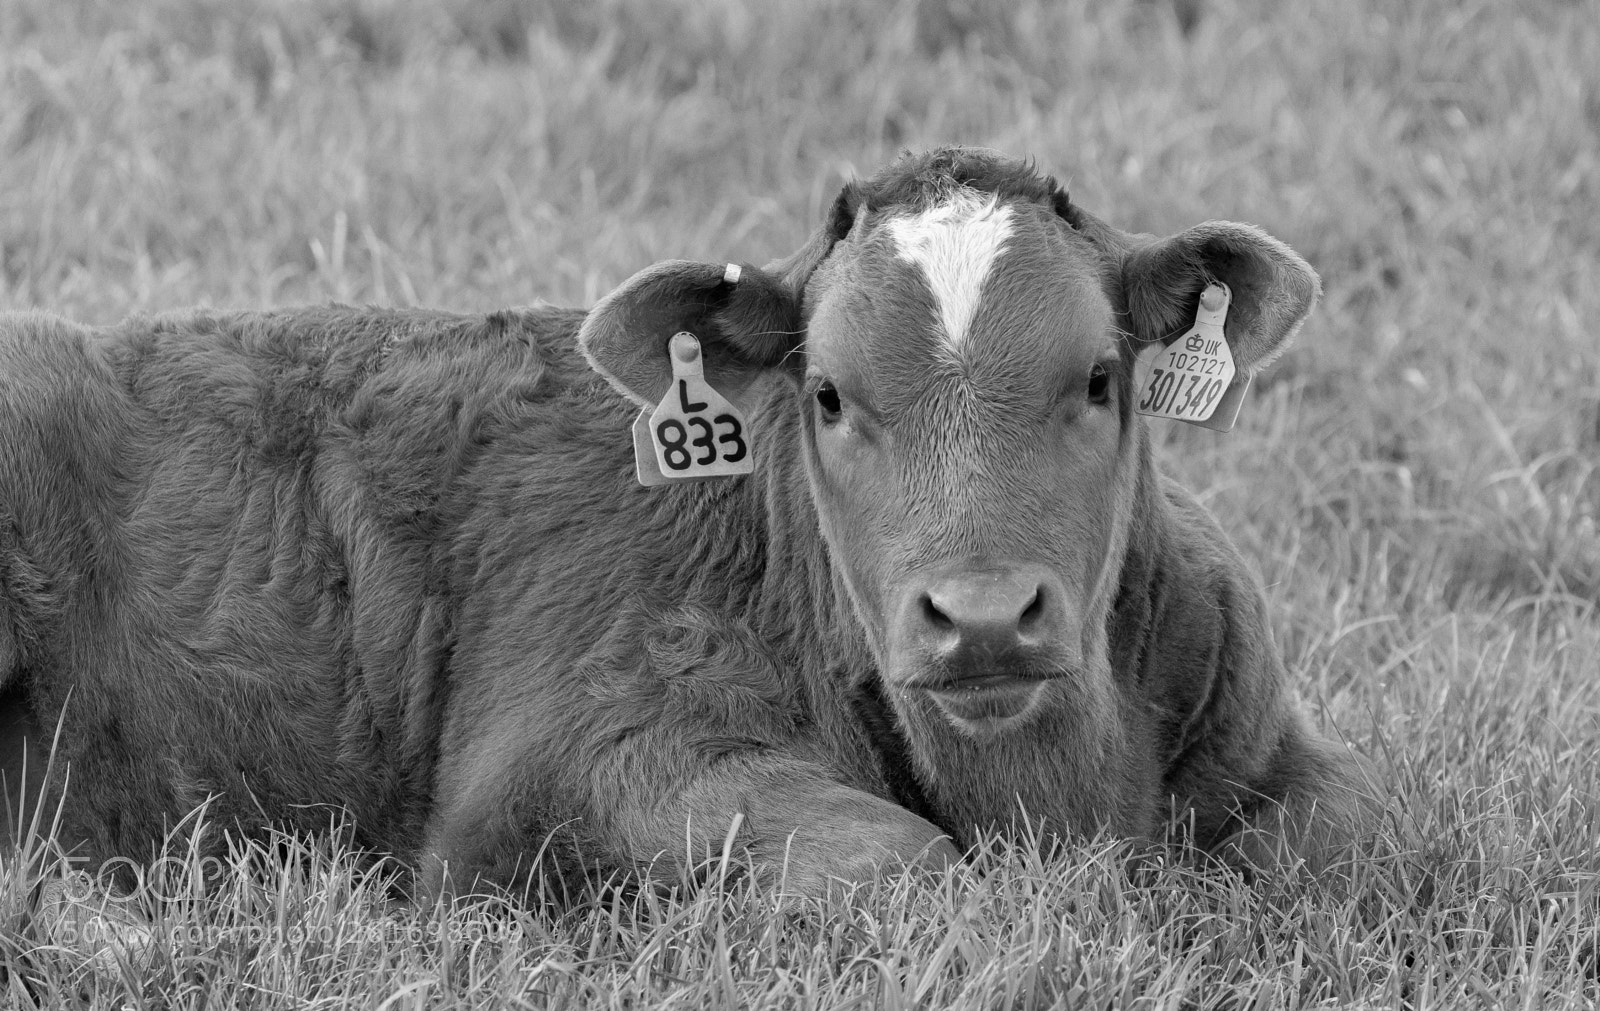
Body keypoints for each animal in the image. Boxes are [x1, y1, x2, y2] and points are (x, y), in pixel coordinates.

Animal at [0, 147, 1363, 903]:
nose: (981, 617)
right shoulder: (555, 773)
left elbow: (1354, 835)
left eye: (1098, 377)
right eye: (827, 394)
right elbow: (905, 860)